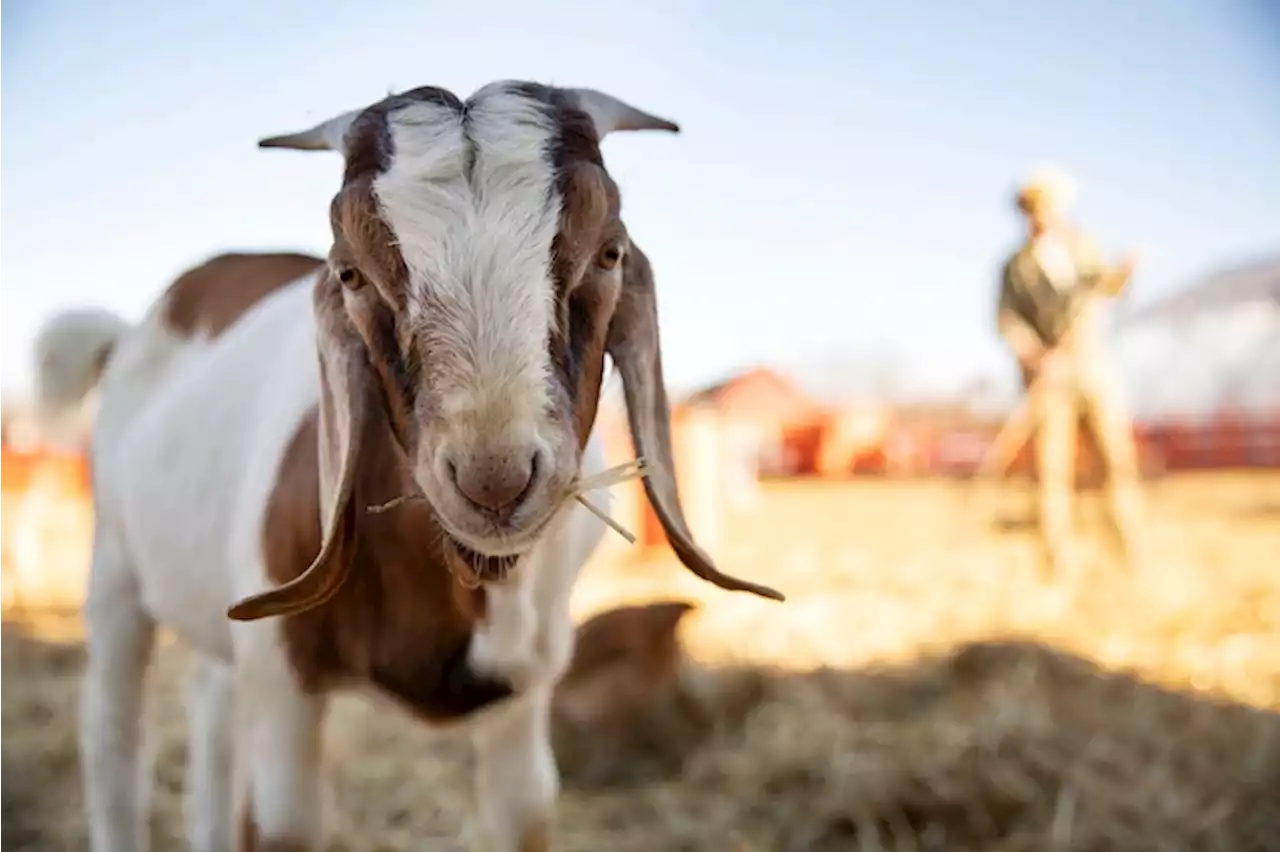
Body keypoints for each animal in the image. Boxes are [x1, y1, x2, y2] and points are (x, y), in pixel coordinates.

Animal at [35, 81, 778, 849]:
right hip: (115, 569)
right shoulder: (283, 680)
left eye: (608, 254)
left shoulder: (526, 687)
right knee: (113, 735)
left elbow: (525, 810)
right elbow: (281, 823)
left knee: (211, 716)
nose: (494, 481)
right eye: (350, 273)